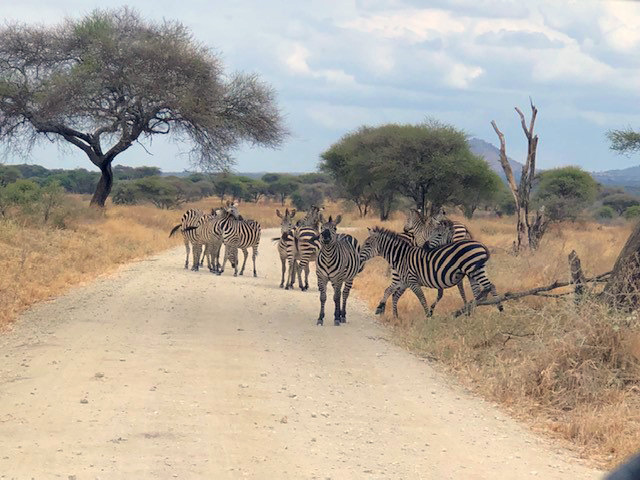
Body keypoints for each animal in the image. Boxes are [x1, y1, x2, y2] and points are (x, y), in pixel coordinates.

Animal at [358, 226, 502, 316]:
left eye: (367, 245)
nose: (358, 258)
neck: (402, 257)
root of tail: (481, 245)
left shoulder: (412, 281)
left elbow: (422, 298)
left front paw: (428, 315)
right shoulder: (404, 281)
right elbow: (388, 291)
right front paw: (381, 308)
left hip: (475, 270)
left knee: (489, 286)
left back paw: (498, 308)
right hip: (474, 272)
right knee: (482, 290)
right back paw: (475, 309)